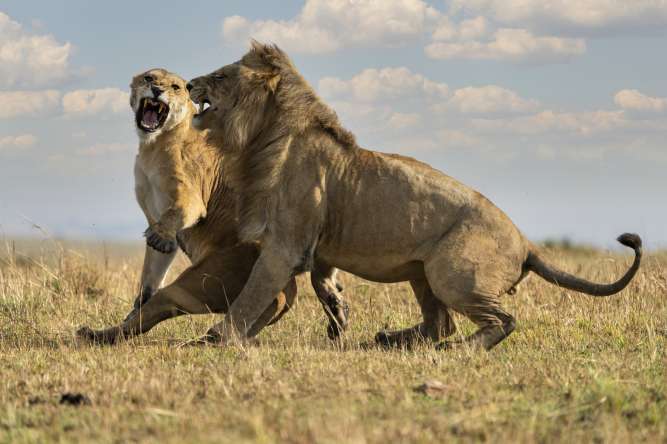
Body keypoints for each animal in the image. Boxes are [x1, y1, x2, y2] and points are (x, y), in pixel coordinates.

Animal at [77, 68, 349, 344]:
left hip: (204, 279)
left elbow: (178, 215)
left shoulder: (191, 192)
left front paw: (160, 237)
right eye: (149, 78)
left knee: (162, 302)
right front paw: (139, 298)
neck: (153, 145)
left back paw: (96, 334)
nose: (157, 90)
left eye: (175, 87)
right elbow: (152, 272)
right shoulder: (155, 219)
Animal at [184, 42, 642, 350]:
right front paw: (338, 318)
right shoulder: (313, 245)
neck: (260, 136)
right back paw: (388, 338)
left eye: (220, 76)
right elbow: (321, 284)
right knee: (442, 323)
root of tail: (528, 243)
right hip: (424, 271)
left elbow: (250, 298)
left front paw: (213, 339)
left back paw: (456, 350)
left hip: (452, 272)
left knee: (500, 320)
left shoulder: (284, 246)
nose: (187, 84)